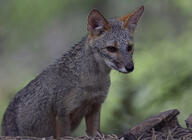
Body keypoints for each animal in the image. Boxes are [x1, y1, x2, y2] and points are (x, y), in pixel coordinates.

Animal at [1, 5, 144, 138]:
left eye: (129, 47)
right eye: (111, 49)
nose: (130, 67)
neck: (92, 82)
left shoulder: (95, 107)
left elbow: (94, 133)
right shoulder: (62, 113)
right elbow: (64, 135)